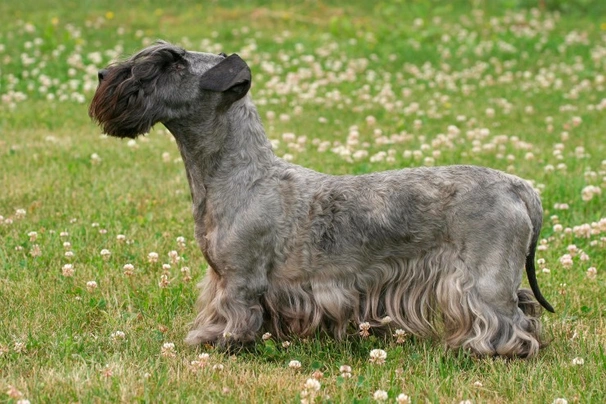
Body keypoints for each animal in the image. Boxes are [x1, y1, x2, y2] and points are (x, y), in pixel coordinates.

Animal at [90, 41, 556, 356]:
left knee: (507, 317)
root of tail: (520, 187)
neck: (240, 175)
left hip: (484, 279)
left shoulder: (239, 280)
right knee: (525, 305)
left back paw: (489, 351)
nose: (102, 76)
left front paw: (218, 343)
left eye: (171, 63)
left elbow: (232, 316)